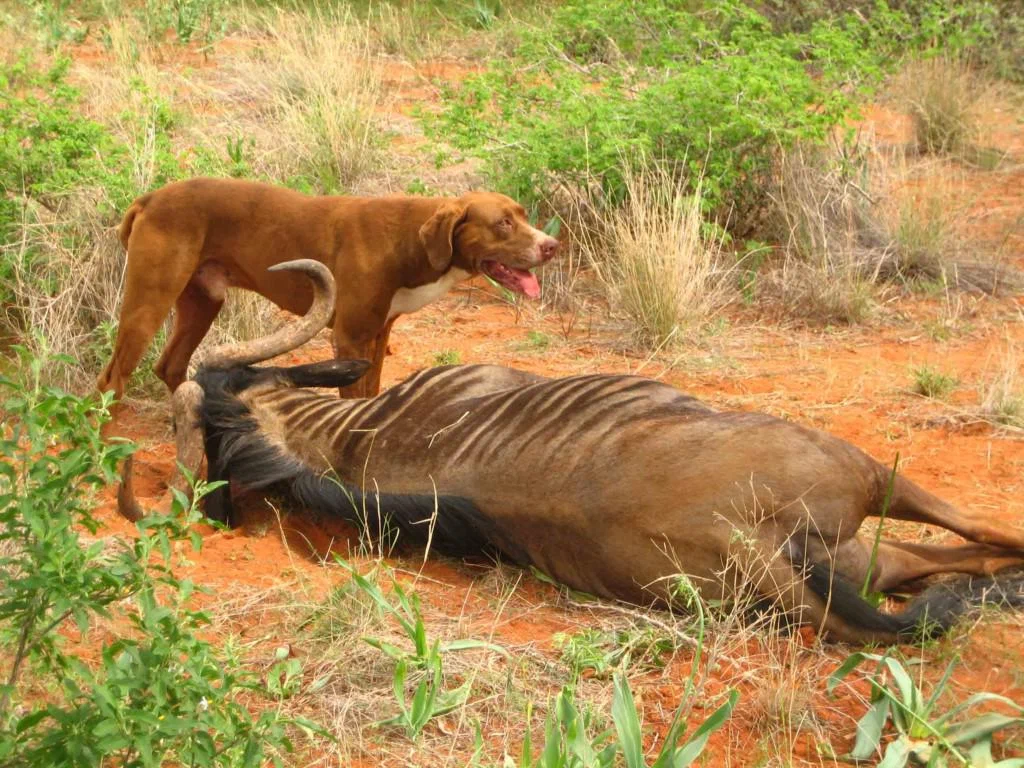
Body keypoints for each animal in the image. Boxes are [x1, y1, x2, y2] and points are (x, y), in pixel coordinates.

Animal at [97, 175, 561, 403]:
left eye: (523, 215)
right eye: (503, 223)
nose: (552, 245)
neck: (409, 240)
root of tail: (149, 199)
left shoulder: (377, 335)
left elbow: (371, 392)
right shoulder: (350, 337)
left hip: (203, 301)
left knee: (170, 367)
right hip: (149, 302)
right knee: (112, 379)